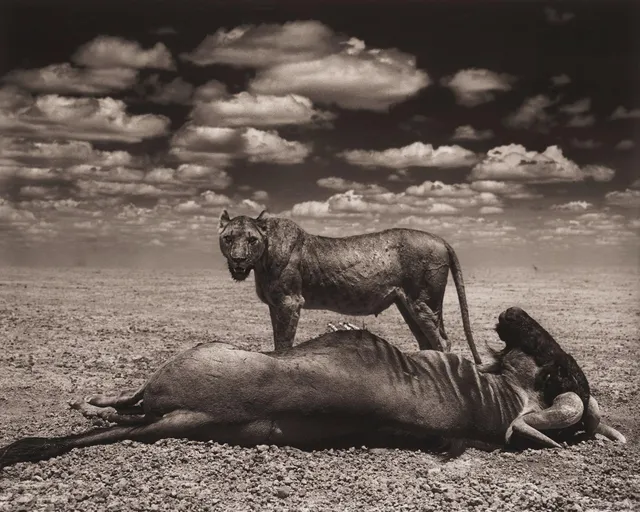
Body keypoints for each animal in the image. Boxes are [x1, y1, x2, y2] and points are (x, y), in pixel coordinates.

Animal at [218, 210, 482, 364]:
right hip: (408, 305)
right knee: (427, 342)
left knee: (443, 343)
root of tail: (441, 239)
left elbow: (283, 343)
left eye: (252, 239)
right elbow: (277, 338)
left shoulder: (289, 302)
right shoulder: (275, 304)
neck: (261, 260)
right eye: (228, 238)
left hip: (424, 302)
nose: (238, 259)